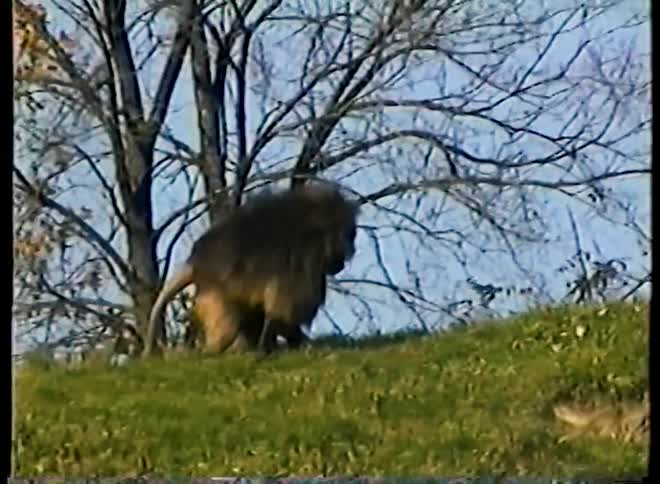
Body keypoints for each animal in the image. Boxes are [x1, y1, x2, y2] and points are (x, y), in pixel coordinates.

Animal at [144, 184, 359, 357]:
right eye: (349, 235)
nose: (341, 263)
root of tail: (196, 261)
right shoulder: (301, 264)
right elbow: (284, 310)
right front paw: (291, 342)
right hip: (218, 292)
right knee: (227, 328)